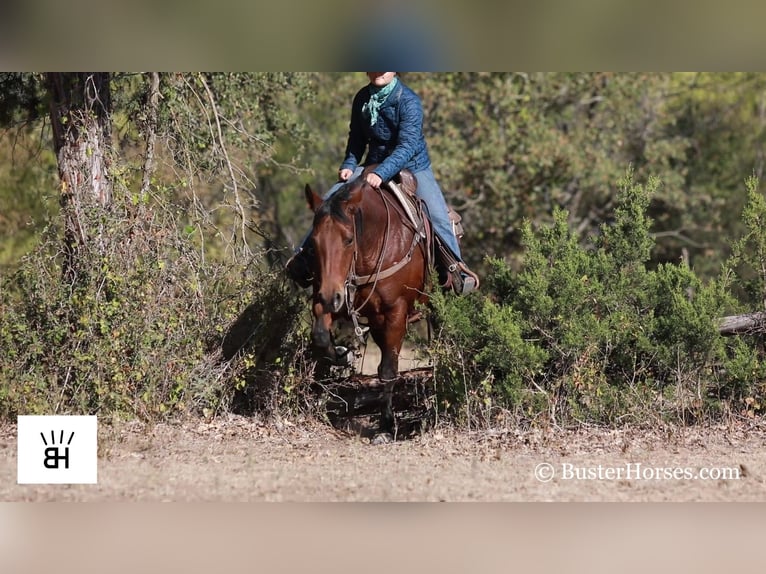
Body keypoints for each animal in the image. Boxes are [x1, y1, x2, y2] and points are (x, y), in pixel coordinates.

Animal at [304, 166, 428, 440]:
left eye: (349, 239)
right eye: (314, 242)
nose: (330, 297)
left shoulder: (396, 313)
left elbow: (389, 370)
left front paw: (386, 426)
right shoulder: (330, 299)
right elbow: (321, 337)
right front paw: (343, 354)